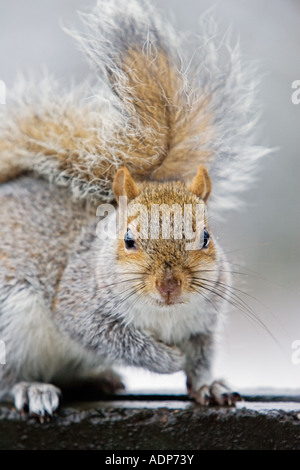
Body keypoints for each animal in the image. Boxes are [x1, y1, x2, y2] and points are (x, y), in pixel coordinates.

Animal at [0, 0, 268, 418]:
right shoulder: (80, 306)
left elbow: (202, 358)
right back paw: (30, 388)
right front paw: (168, 359)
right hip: (10, 325)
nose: (169, 285)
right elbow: (114, 340)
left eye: (206, 237)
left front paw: (208, 385)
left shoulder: (204, 322)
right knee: (7, 378)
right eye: (128, 240)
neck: (165, 313)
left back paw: (97, 378)